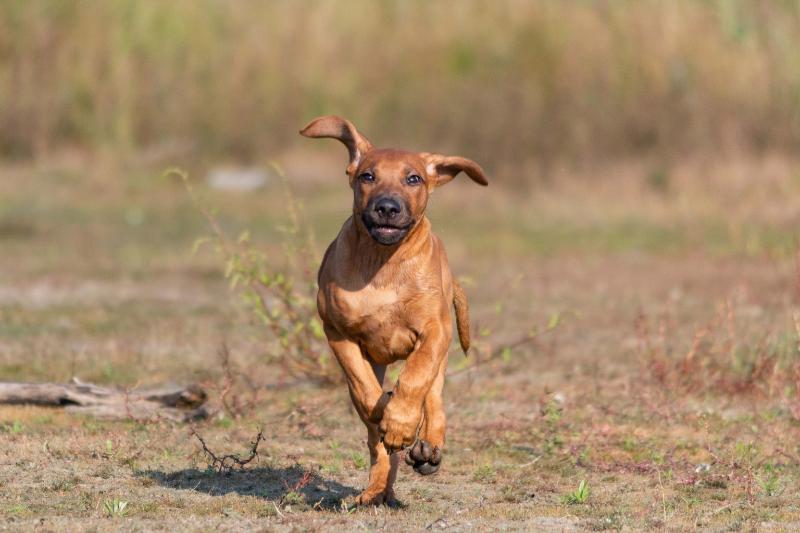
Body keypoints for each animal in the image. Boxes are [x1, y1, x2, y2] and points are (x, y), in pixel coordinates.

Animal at [300, 115, 488, 502]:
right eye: (367, 176)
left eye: (413, 178)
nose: (387, 207)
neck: (383, 261)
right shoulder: (338, 332)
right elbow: (364, 389)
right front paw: (387, 415)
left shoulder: (435, 331)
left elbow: (417, 377)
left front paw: (402, 421)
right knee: (377, 438)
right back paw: (376, 489)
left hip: (442, 345)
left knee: (433, 394)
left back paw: (427, 446)